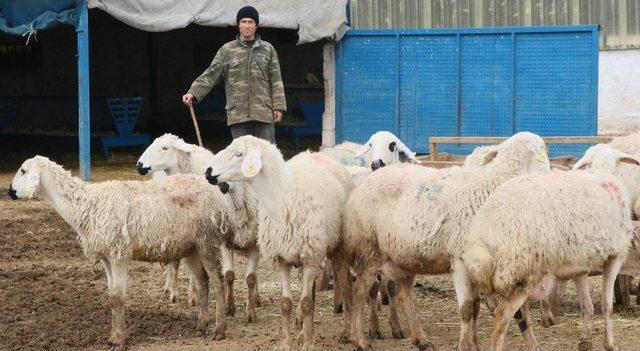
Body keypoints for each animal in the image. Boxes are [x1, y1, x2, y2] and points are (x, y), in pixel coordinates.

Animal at [8, 157, 235, 351]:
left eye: (23, 170)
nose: (10, 191)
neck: (84, 203)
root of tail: (215, 192)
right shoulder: (107, 257)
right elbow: (111, 297)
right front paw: (113, 337)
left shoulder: (118, 254)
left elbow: (118, 298)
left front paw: (120, 341)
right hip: (192, 246)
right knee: (203, 281)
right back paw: (201, 325)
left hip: (207, 240)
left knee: (218, 282)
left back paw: (219, 330)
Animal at [138, 134, 262, 322]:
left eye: (164, 148)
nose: (139, 165)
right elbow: (177, 263)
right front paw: (176, 293)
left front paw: (194, 295)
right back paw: (168, 287)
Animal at [205, 136, 350, 351]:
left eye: (238, 154)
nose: (207, 172)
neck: (283, 197)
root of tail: (314, 154)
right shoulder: (282, 258)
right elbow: (286, 303)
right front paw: (286, 342)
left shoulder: (309, 257)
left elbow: (306, 303)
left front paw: (308, 343)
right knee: (311, 293)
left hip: (333, 248)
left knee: (341, 285)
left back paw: (342, 332)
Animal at [340, 132, 552, 351]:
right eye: (543, 149)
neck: (490, 187)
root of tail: (367, 179)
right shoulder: (460, 260)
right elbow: (467, 309)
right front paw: (465, 346)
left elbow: (480, 308)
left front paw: (475, 345)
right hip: (370, 249)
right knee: (359, 291)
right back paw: (360, 339)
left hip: (402, 256)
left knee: (404, 294)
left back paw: (421, 339)